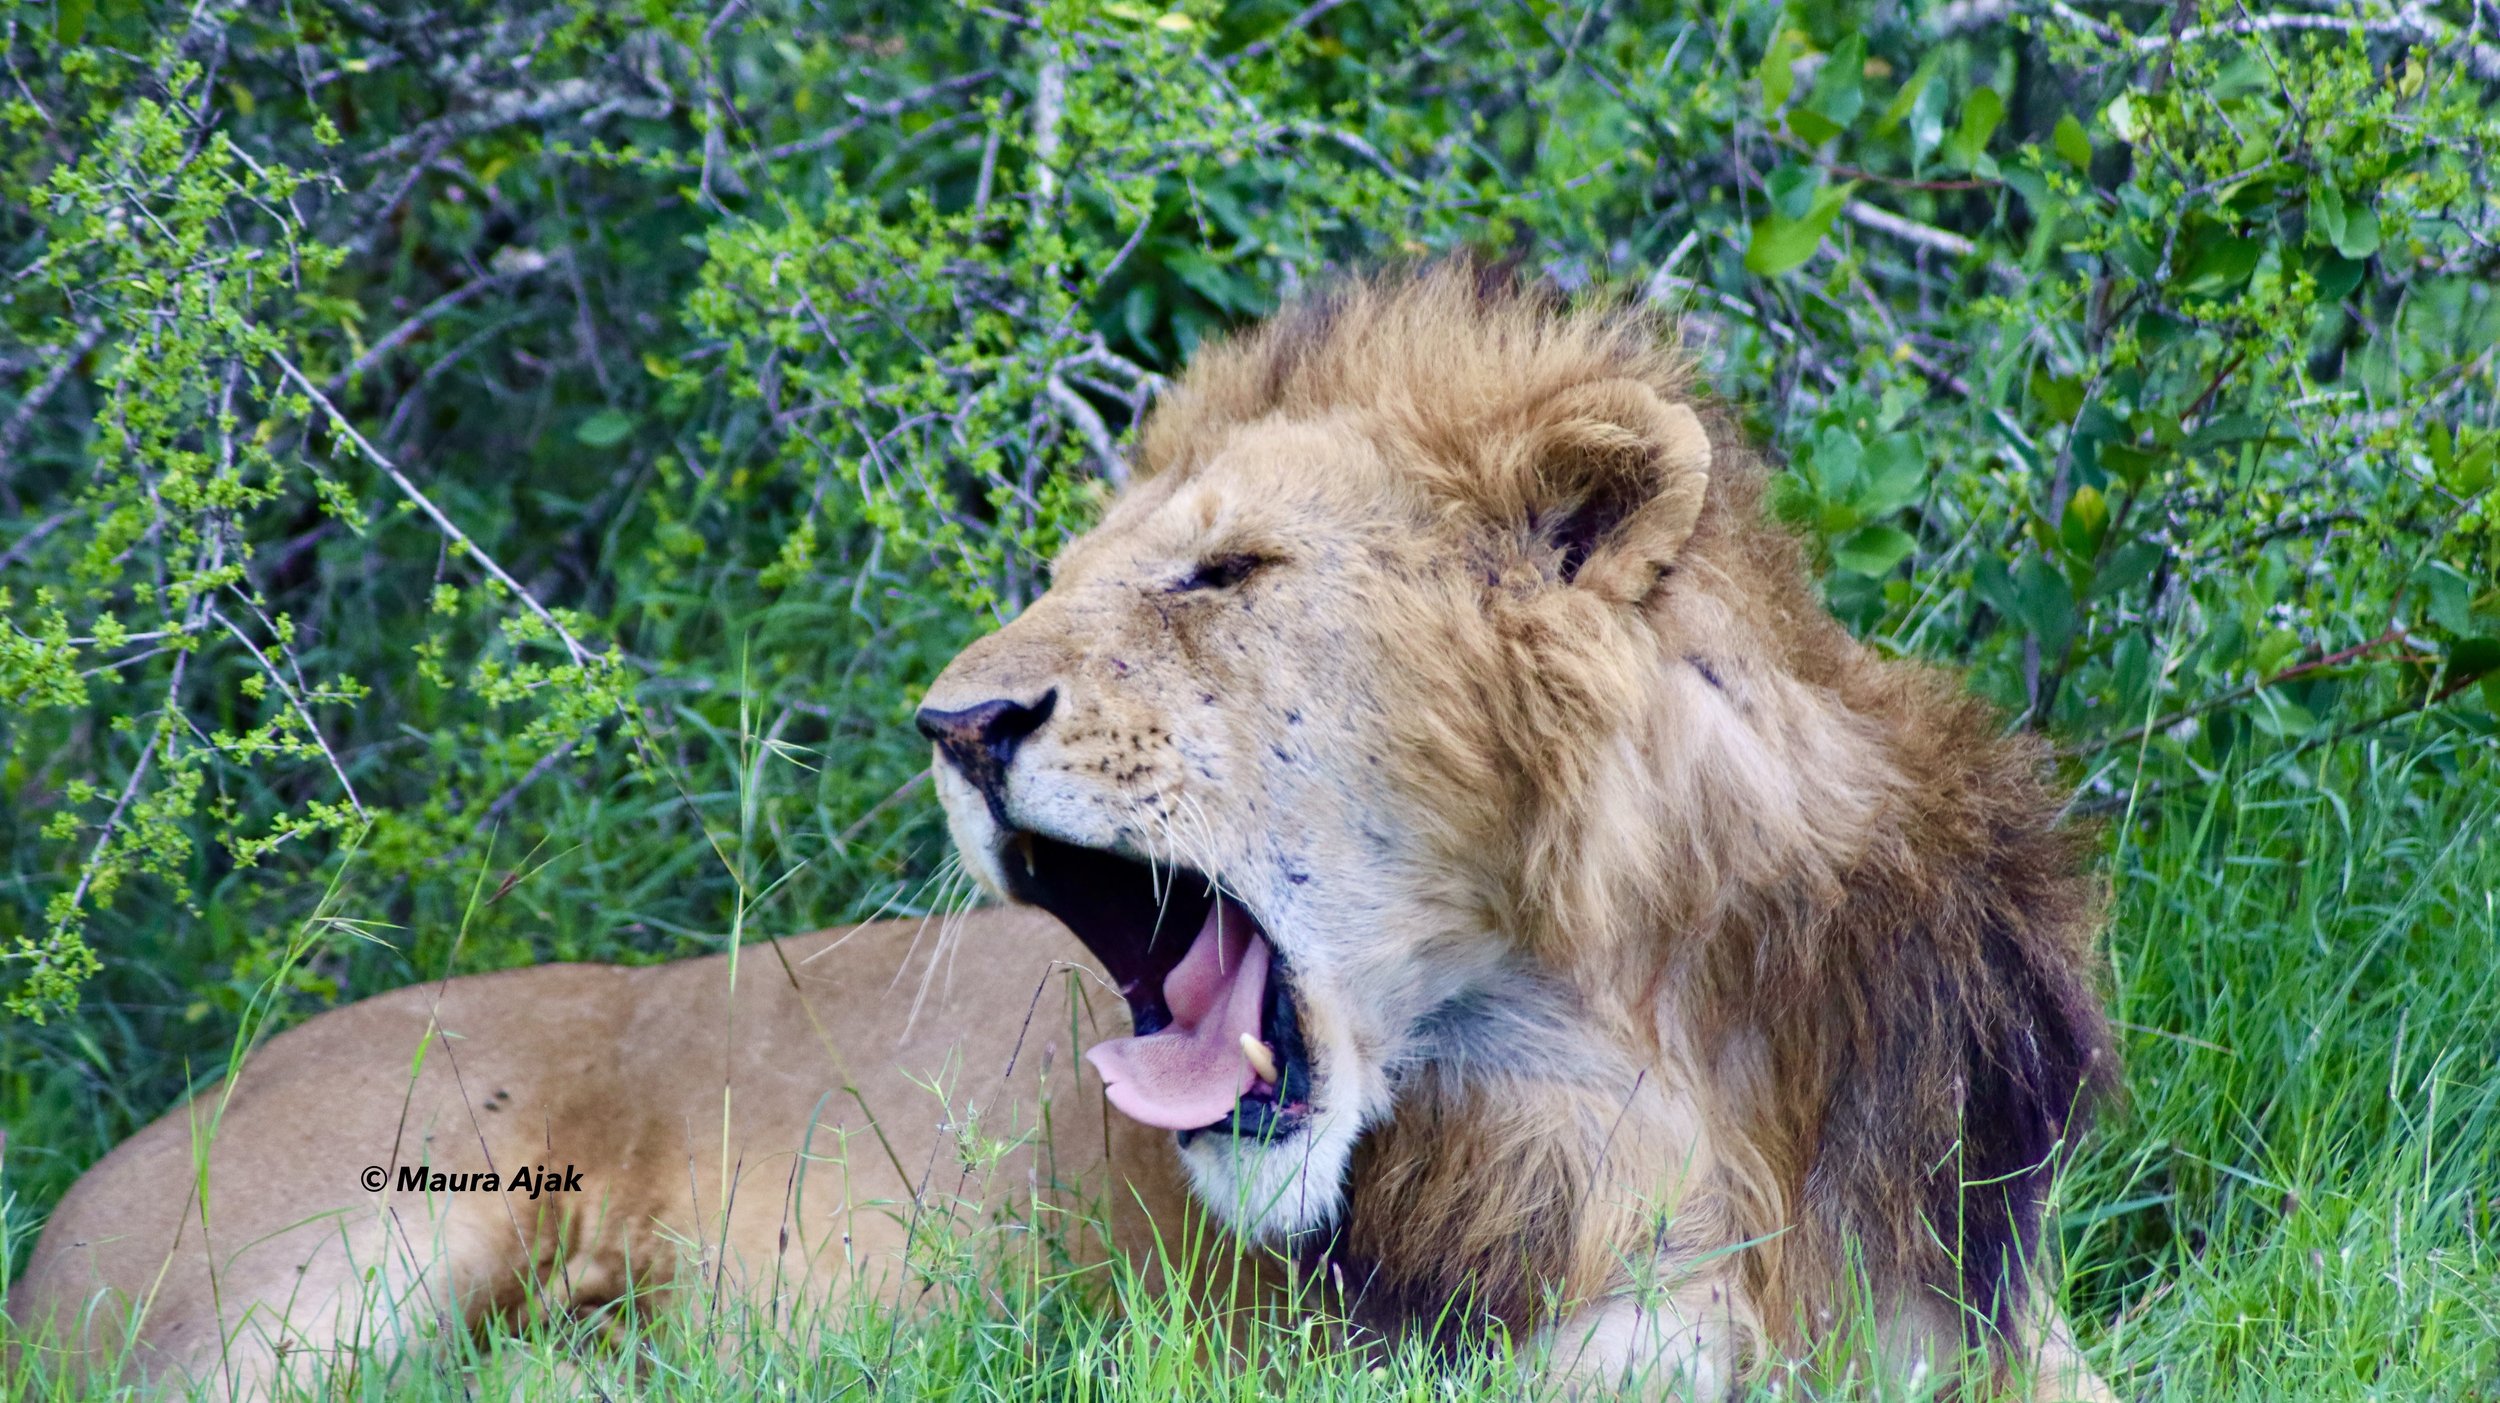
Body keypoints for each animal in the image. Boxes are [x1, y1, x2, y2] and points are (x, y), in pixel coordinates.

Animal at [10, 266, 2115, 1400]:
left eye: (1222, 573)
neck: (1649, 1043)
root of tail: (90, 1183)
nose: (955, 723)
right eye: (1072, 574)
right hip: (350, 1248)